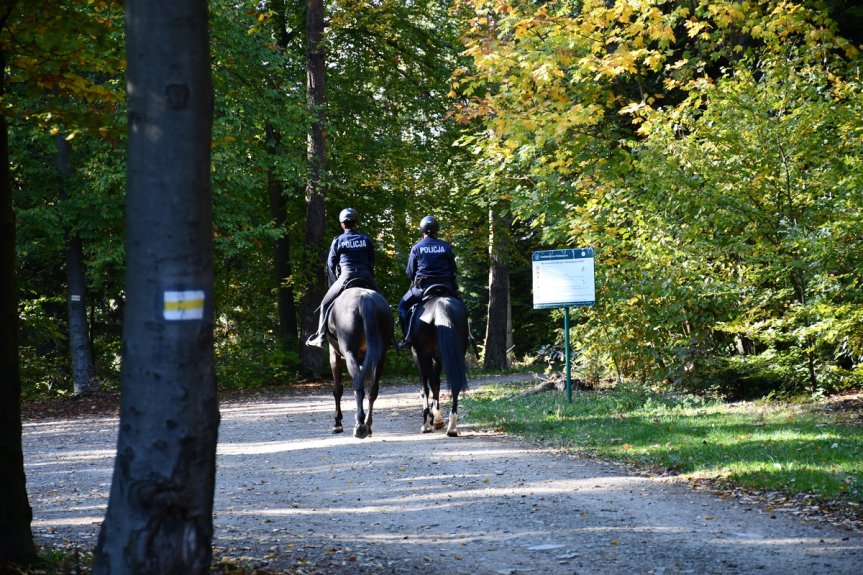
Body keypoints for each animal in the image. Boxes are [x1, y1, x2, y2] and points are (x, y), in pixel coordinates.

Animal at [326, 286, 394, 438]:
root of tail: (365, 299)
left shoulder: (334, 355)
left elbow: (337, 389)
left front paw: (337, 423)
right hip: (381, 356)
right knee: (372, 390)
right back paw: (367, 425)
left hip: (349, 353)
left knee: (358, 384)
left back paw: (360, 425)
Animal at [406, 286, 470, 438]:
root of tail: (441, 304)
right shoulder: (438, 358)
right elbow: (436, 385)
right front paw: (437, 418)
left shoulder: (418, 355)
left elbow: (425, 387)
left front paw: (429, 421)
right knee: (454, 385)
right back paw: (452, 426)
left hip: (423, 356)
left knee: (429, 385)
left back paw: (429, 423)